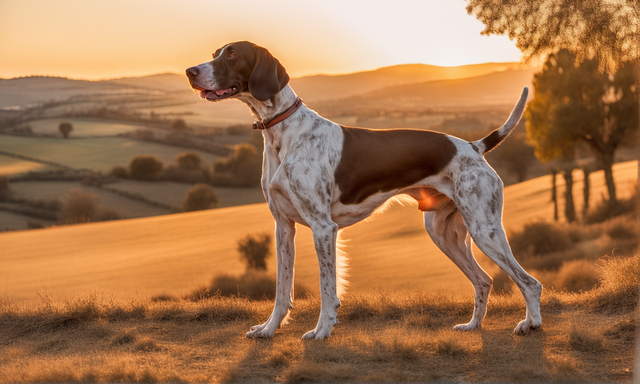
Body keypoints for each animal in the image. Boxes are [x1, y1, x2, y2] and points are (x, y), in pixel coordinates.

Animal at [185, 41, 540, 340]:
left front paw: (322, 331)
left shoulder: (323, 228)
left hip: (484, 229)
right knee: (484, 280)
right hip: (444, 233)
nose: (190, 71)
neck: (283, 133)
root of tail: (474, 146)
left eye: (232, 54)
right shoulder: (283, 228)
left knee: (530, 282)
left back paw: (530, 324)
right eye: (216, 52)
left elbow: (327, 288)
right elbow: (282, 292)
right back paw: (472, 325)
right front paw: (269, 329)